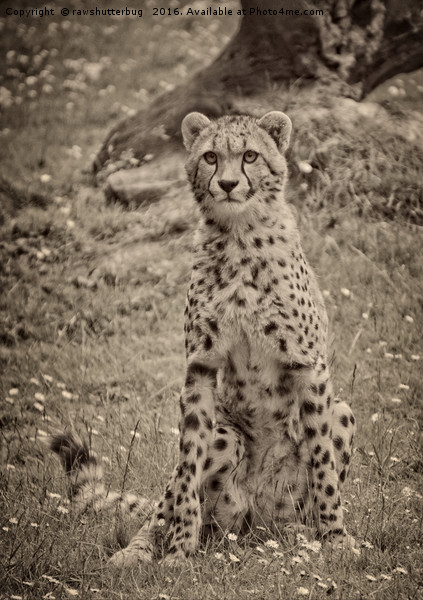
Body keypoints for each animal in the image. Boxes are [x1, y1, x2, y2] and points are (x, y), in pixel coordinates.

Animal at [49, 111, 356, 568]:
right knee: (169, 500)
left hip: (342, 413)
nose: (227, 184)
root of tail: (255, 525)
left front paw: (335, 538)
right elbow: (188, 466)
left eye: (250, 156)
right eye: (211, 156)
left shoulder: (308, 365)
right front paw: (178, 550)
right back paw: (137, 551)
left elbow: (323, 464)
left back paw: (301, 535)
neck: (240, 235)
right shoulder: (200, 367)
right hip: (225, 441)